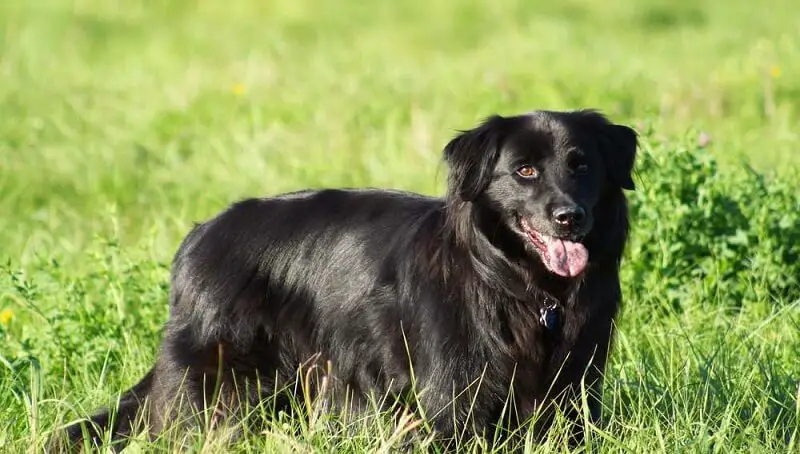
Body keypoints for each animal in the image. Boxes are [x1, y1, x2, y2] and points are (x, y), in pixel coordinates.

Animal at [61, 109, 636, 450]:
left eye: (582, 166)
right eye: (524, 172)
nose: (570, 217)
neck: (519, 284)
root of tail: (201, 234)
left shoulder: (575, 385)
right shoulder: (451, 400)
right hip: (216, 384)